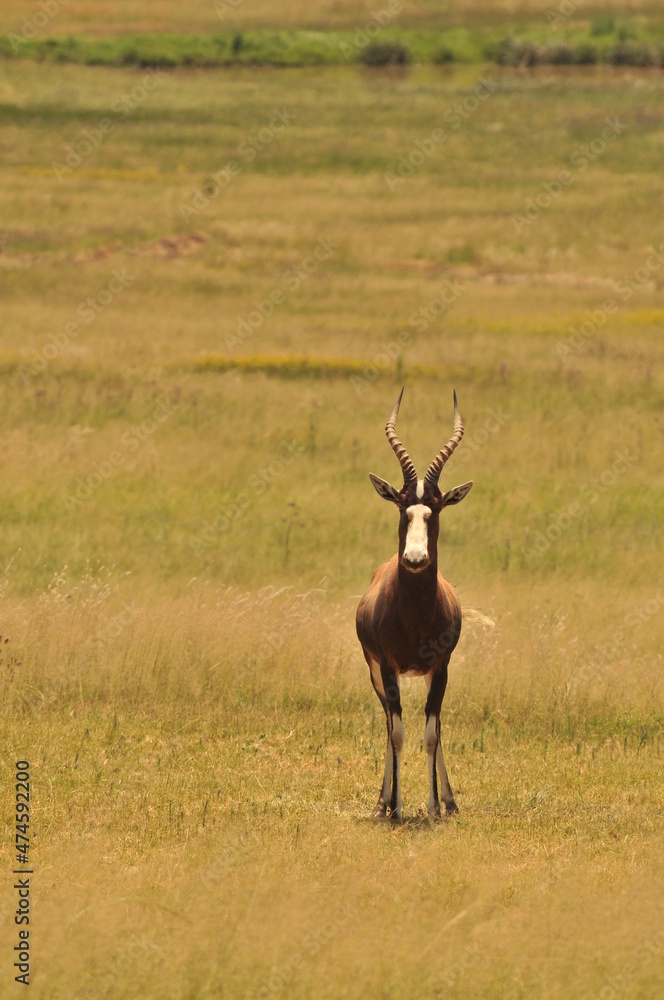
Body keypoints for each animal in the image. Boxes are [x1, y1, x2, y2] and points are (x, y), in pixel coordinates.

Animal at [356, 388, 473, 821]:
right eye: (401, 506)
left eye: (435, 508)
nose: (415, 558)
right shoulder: (387, 667)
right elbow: (398, 733)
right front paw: (396, 809)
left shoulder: (442, 667)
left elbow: (431, 733)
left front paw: (437, 806)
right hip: (375, 672)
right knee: (389, 722)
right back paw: (382, 802)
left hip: (428, 674)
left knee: (432, 726)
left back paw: (451, 802)